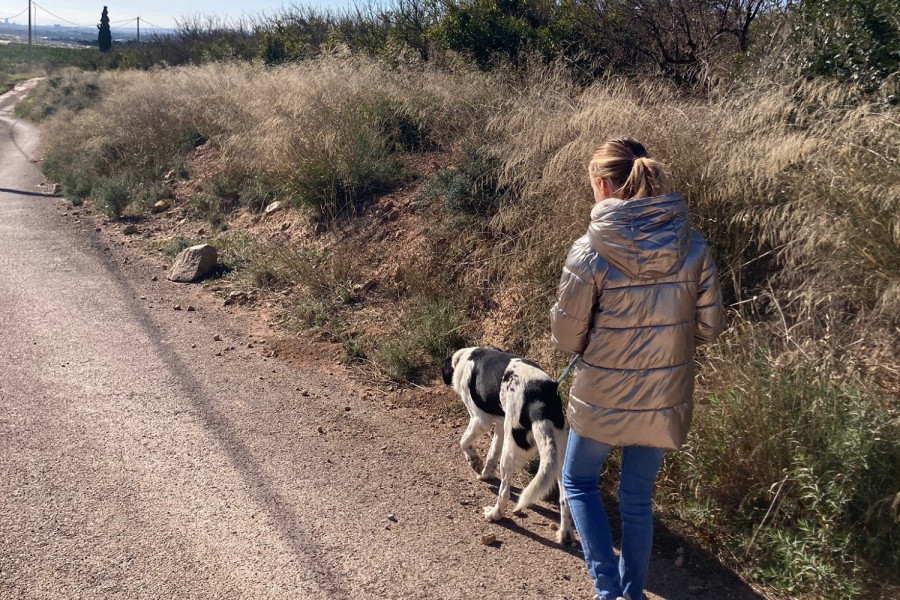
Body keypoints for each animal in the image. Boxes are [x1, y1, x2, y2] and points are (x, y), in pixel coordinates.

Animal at [442, 346, 576, 544]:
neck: (465, 358)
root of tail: (539, 403)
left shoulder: (480, 421)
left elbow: (464, 442)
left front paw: (474, 461)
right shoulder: (500, 426)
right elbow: (491, 454)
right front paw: (485, 472)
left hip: (509, 454)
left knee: (504, 491)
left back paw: (494, 514)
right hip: (559, 459)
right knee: (565, 499)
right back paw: (565, 533)